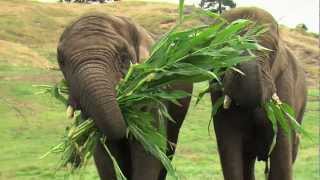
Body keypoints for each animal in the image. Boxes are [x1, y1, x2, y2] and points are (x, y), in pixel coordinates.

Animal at [57, 13, 192, 180]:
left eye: (124, 58)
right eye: (61, 61)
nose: (74, 162)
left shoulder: (155, 92)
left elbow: (149, 151)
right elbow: (105, 156)